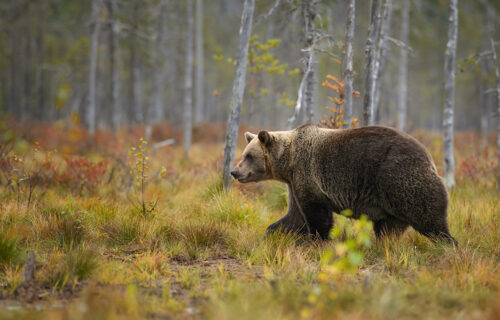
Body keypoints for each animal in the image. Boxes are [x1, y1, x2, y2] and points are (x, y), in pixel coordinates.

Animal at [230, 124, 458, 244]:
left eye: (249, 156)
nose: (234, 171)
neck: (288, 161)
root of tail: (429, 157)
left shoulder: (308, 175)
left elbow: (317, 215)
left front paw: (318, 239)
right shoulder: (294, 183)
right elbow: (294, 216)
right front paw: (273, 231)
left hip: (401, 180)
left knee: (430, 219)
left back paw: (448, 243)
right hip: (391, 202)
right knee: (388, 228)